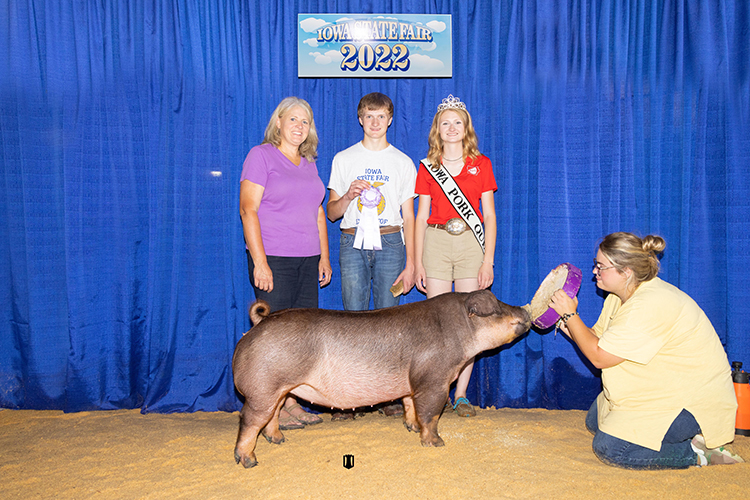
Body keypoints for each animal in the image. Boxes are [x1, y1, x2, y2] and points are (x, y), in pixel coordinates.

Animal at [232, 290, 532, 468]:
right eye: (495, 307)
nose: (526, 311)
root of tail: (258, 325)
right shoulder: (434, 380)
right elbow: (431, 413)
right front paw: (436, 443)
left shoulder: (412, 384)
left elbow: (410, 406)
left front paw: (411, 427)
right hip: (262, 387)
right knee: (249, 420)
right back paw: (249, 460)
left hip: (278, 390)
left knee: (271, 416)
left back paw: (279, 440)